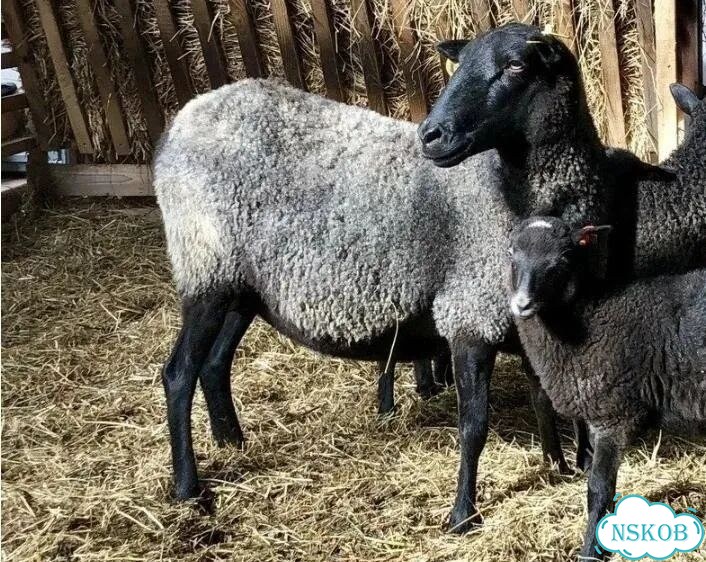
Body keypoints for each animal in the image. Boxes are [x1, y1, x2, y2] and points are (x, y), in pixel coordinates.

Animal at [154, 77, 581, 530]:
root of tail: (180, 122)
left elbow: (542, 397)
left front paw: (557, 466)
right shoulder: (473, 315)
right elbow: (477, 422)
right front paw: (466, 513)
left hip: (240, 287)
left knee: (215, 363)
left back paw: (231, 441)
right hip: (205, 268)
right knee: (179, 373)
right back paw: (190, 488)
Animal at [507, 215, 706, 559]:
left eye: (562, 261)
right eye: (511, 255)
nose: (522, 305)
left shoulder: (614, 415)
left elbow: (598, 489)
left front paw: (591, 550)